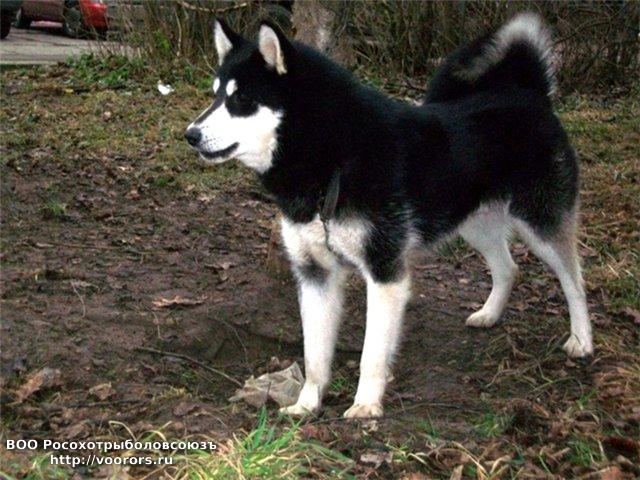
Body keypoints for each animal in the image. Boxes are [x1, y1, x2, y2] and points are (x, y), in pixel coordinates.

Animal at [185, 13, 593, 418]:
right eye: (215, 94)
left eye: (241, 98)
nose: (190, 134)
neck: (332, 158)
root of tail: (528, 93)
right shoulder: (315, 273)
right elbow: (314, 355)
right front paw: (306, 403)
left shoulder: (385, 272)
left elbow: (372, 353)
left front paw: (365, 406)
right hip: (473, 224)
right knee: (509, 268)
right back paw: (489, 314)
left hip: (539, 223)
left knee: (574, 281)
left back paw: (581, 340)